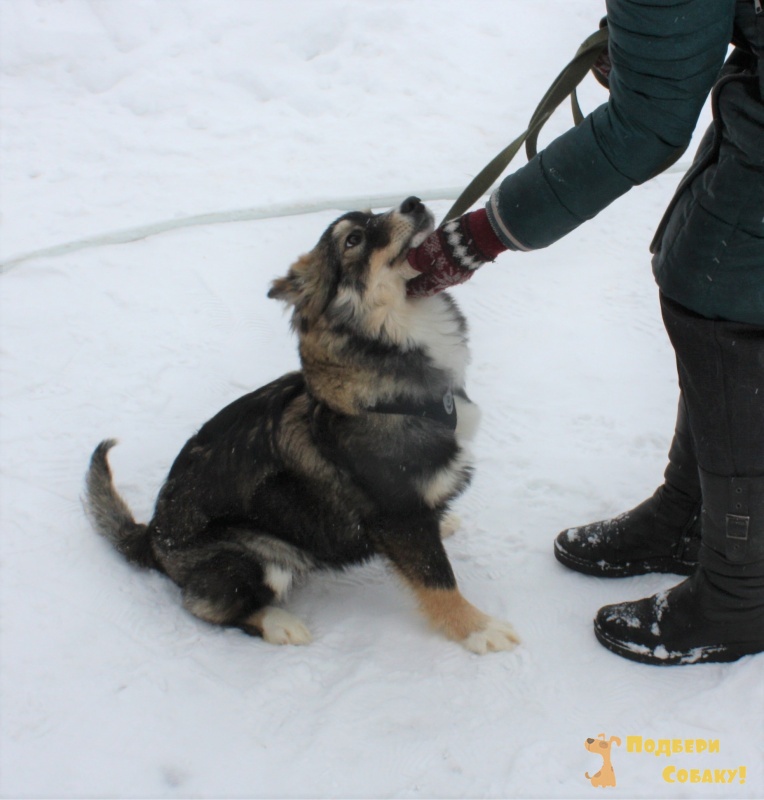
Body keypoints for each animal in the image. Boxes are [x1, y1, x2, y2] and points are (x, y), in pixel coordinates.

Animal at [86, 197, 520, 652]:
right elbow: (438, 580)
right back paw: (279, 623)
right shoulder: (397, 515)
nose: (413, 202)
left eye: (373, 213)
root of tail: (151, 535)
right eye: (353, 240)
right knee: (205, 604)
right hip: (261, 553)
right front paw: (477, 627)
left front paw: (443, 523)